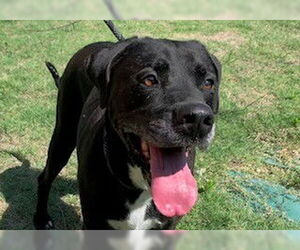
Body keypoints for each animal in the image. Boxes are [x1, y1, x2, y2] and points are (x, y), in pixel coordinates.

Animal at [33, 36, 220, 229]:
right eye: (149, 80)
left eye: (208, 83)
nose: (198, 119)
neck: (140, 188)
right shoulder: (93, 223)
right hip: (63, 136)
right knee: (45, 178)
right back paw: (42, 218)